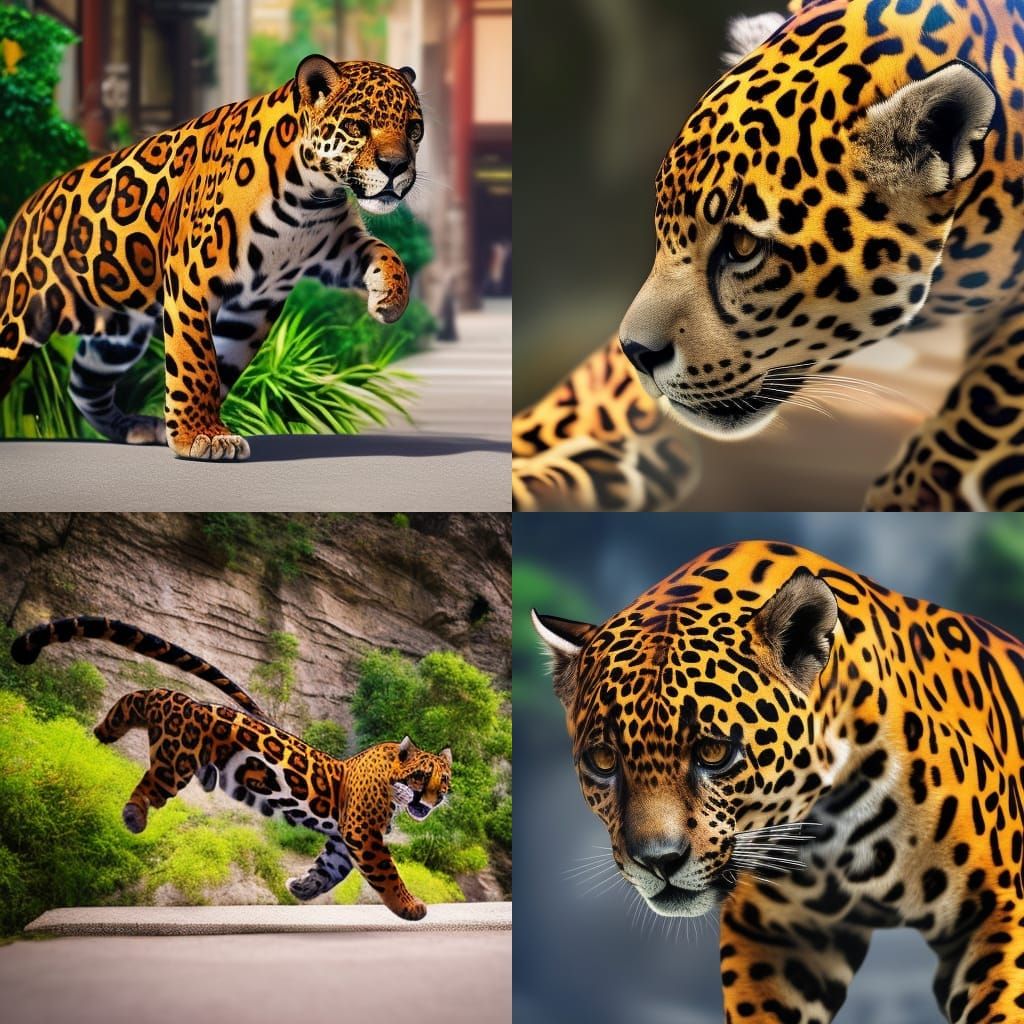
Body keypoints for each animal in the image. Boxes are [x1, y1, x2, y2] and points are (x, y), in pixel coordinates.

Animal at [0, 55, 422, 460]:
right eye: (356, 127)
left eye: (414, 129)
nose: (396, 166)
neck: (310, 198)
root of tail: (23, 211)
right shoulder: (192, 280)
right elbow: (195, 362)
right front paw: (199, 435)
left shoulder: (310, 265)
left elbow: (385, 253)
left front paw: (390, 299)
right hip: (19, 319)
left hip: (117, 338)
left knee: (84, 382)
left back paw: (134, 427)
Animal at [12, 615, 451, 920]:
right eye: (420, 778)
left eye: (443, 783)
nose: (431, 802)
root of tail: (179, 699)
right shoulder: (363, 834)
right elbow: (387, 873)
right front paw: (411, 907)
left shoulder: (344, 840)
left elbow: (329, 869)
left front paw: (302, 887)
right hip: (176, 760)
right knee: (150, 783)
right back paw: (134, 816)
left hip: (150, 723)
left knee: (125, 706)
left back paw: (100, 734)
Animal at [533, 539, 1024, 1022]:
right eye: (603, 760)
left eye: (714, 752)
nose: (658, 861)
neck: (830, 823)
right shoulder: (779, 936)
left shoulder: (997, 909)